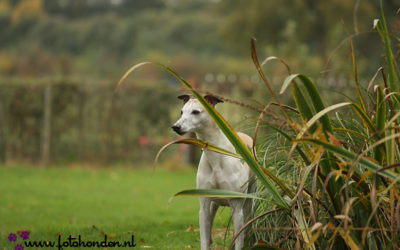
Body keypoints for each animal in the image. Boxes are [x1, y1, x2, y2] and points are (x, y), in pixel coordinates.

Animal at [171, 94, 253, 250]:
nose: (175, 127)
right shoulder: (204, 205)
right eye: (181, 111)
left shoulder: (237, 208)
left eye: (195, 112)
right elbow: (204, 238)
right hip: (214, 204)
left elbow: (239, 239)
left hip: (250, 200)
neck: (216, 157)